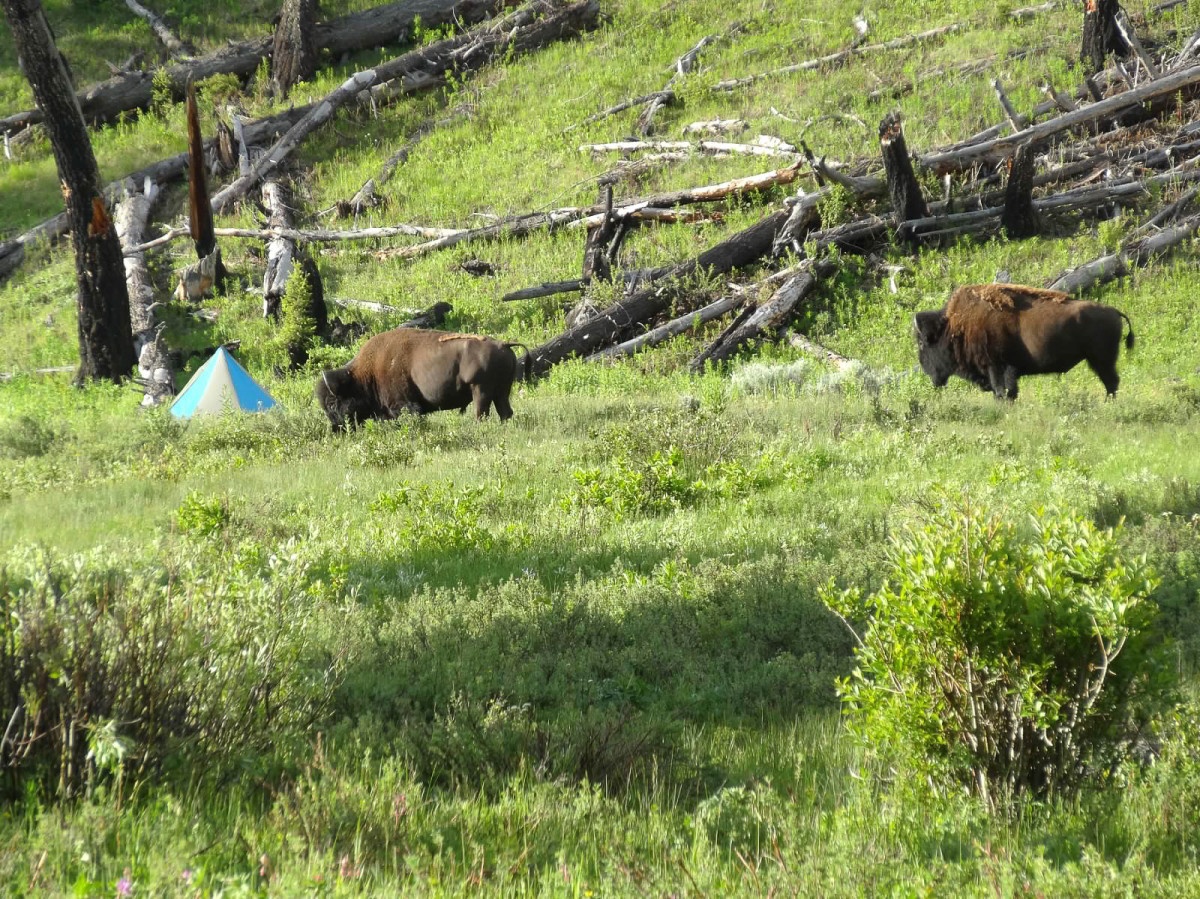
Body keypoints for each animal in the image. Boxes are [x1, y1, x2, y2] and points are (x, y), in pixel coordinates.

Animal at [316, 326, 528, 432]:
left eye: (332, 402)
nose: (335, 428)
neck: (365, 375)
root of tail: (503, 344)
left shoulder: (403, 405)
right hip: (501, 391)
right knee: (505, 412)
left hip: (480, 390)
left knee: (482, 413)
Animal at [912, 284, 1137, 400]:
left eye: (922, 344)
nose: (925, 370)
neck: (955, 326)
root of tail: (1114, 311)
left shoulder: (997, 366)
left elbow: (1002, 391)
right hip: (1100, 361)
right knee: (1111, 382)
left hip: (1101, 360)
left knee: (1111, 381)